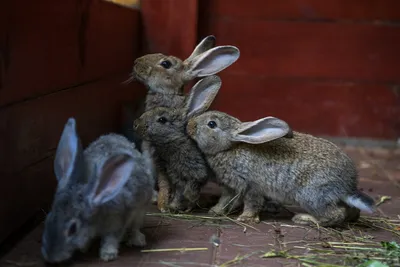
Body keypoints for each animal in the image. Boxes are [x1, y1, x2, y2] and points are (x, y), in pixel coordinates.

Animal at [41, 119, 155, 264]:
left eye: (73, 229)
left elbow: (111, 239)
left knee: (135, 227)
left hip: (141, 210)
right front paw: (85, 248)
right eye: (48, 218)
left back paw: (137, 240)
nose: (50, 257)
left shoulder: (117, 222)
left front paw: (107, 255)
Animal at [184, 92, 376, 226]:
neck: (230, 147)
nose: (189, 125)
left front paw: (245, 218)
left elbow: (252, 203)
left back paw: (304, 219)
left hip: (311, 195)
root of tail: (347, 186)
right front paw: (215, 211)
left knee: (335, 214)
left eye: (212, 124)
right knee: (350, 211)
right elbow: (225, 200)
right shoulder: (231, 187)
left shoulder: (251, 186)